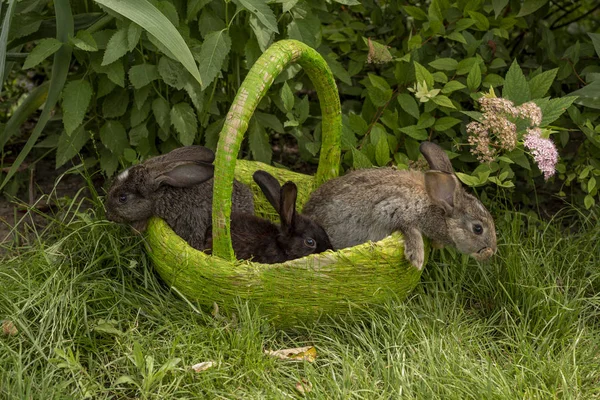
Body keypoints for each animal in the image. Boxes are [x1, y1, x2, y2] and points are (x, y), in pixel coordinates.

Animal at [304, 141, 496, 268]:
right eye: (478, 229)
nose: (492, 251)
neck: (436, 206)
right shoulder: (391, 209)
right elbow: (409, 227)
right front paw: (417, 258)